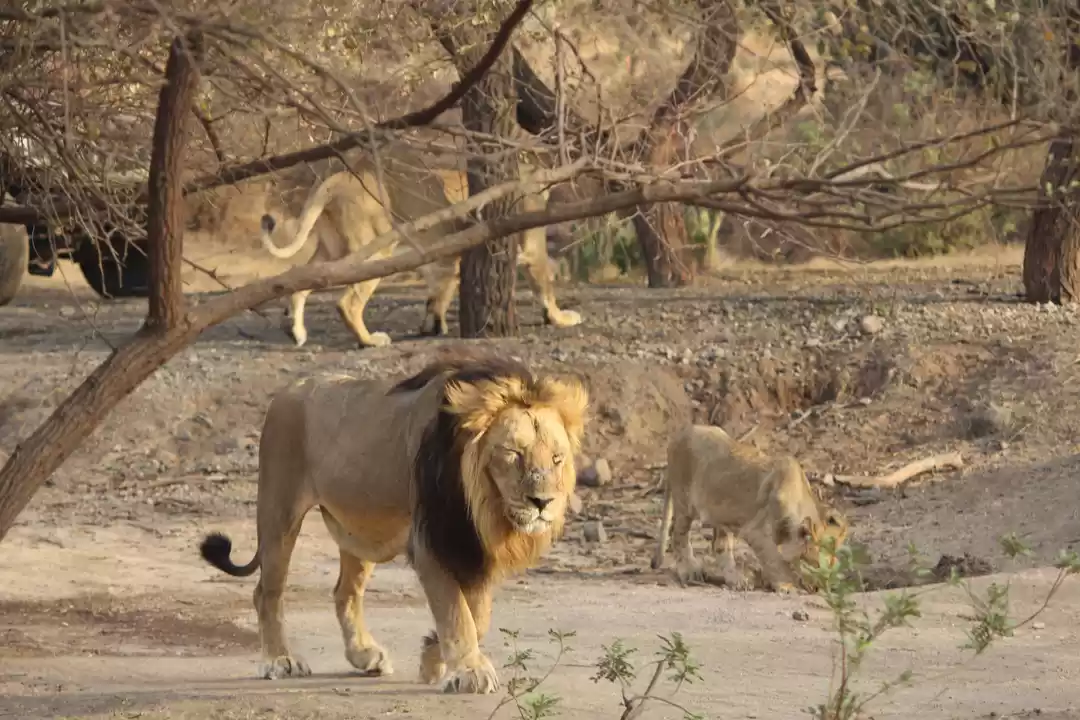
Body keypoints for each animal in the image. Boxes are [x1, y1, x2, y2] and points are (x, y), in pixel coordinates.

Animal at [198, 351, 588, 694]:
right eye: (513, 453)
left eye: (557, 458)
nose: (543, 502)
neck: (484, 505)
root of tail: (288, 388)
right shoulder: (432, 542)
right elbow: (457, 611)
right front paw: (468, 671)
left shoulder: (472, 546)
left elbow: (477, 615)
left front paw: (433, 655)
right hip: (279, 511)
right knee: (268, 591)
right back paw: (280, 660)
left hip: (358, 528)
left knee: (345, 592)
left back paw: (363, 655)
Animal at [259, 159, 583, 349]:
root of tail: (339, 178)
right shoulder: (530, 248)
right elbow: (545, 287)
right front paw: (561, 317)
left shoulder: (447, 261)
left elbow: (437, 295)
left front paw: (433, 326)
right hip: (376, 251)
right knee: (347, 303)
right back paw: (371, 341)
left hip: (335, 252)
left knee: (303, 281)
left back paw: (295, 330)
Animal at [649, 424, 849, 593]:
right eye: (817, 564)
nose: (819, 588)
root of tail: (679, 434)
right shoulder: (755, 531)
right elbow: (776, 560)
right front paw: (785, 584)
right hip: (684, 501)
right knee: (678, 535)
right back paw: (689, 571)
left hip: (721, 512)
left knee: (720, 546)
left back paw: (736, 581)